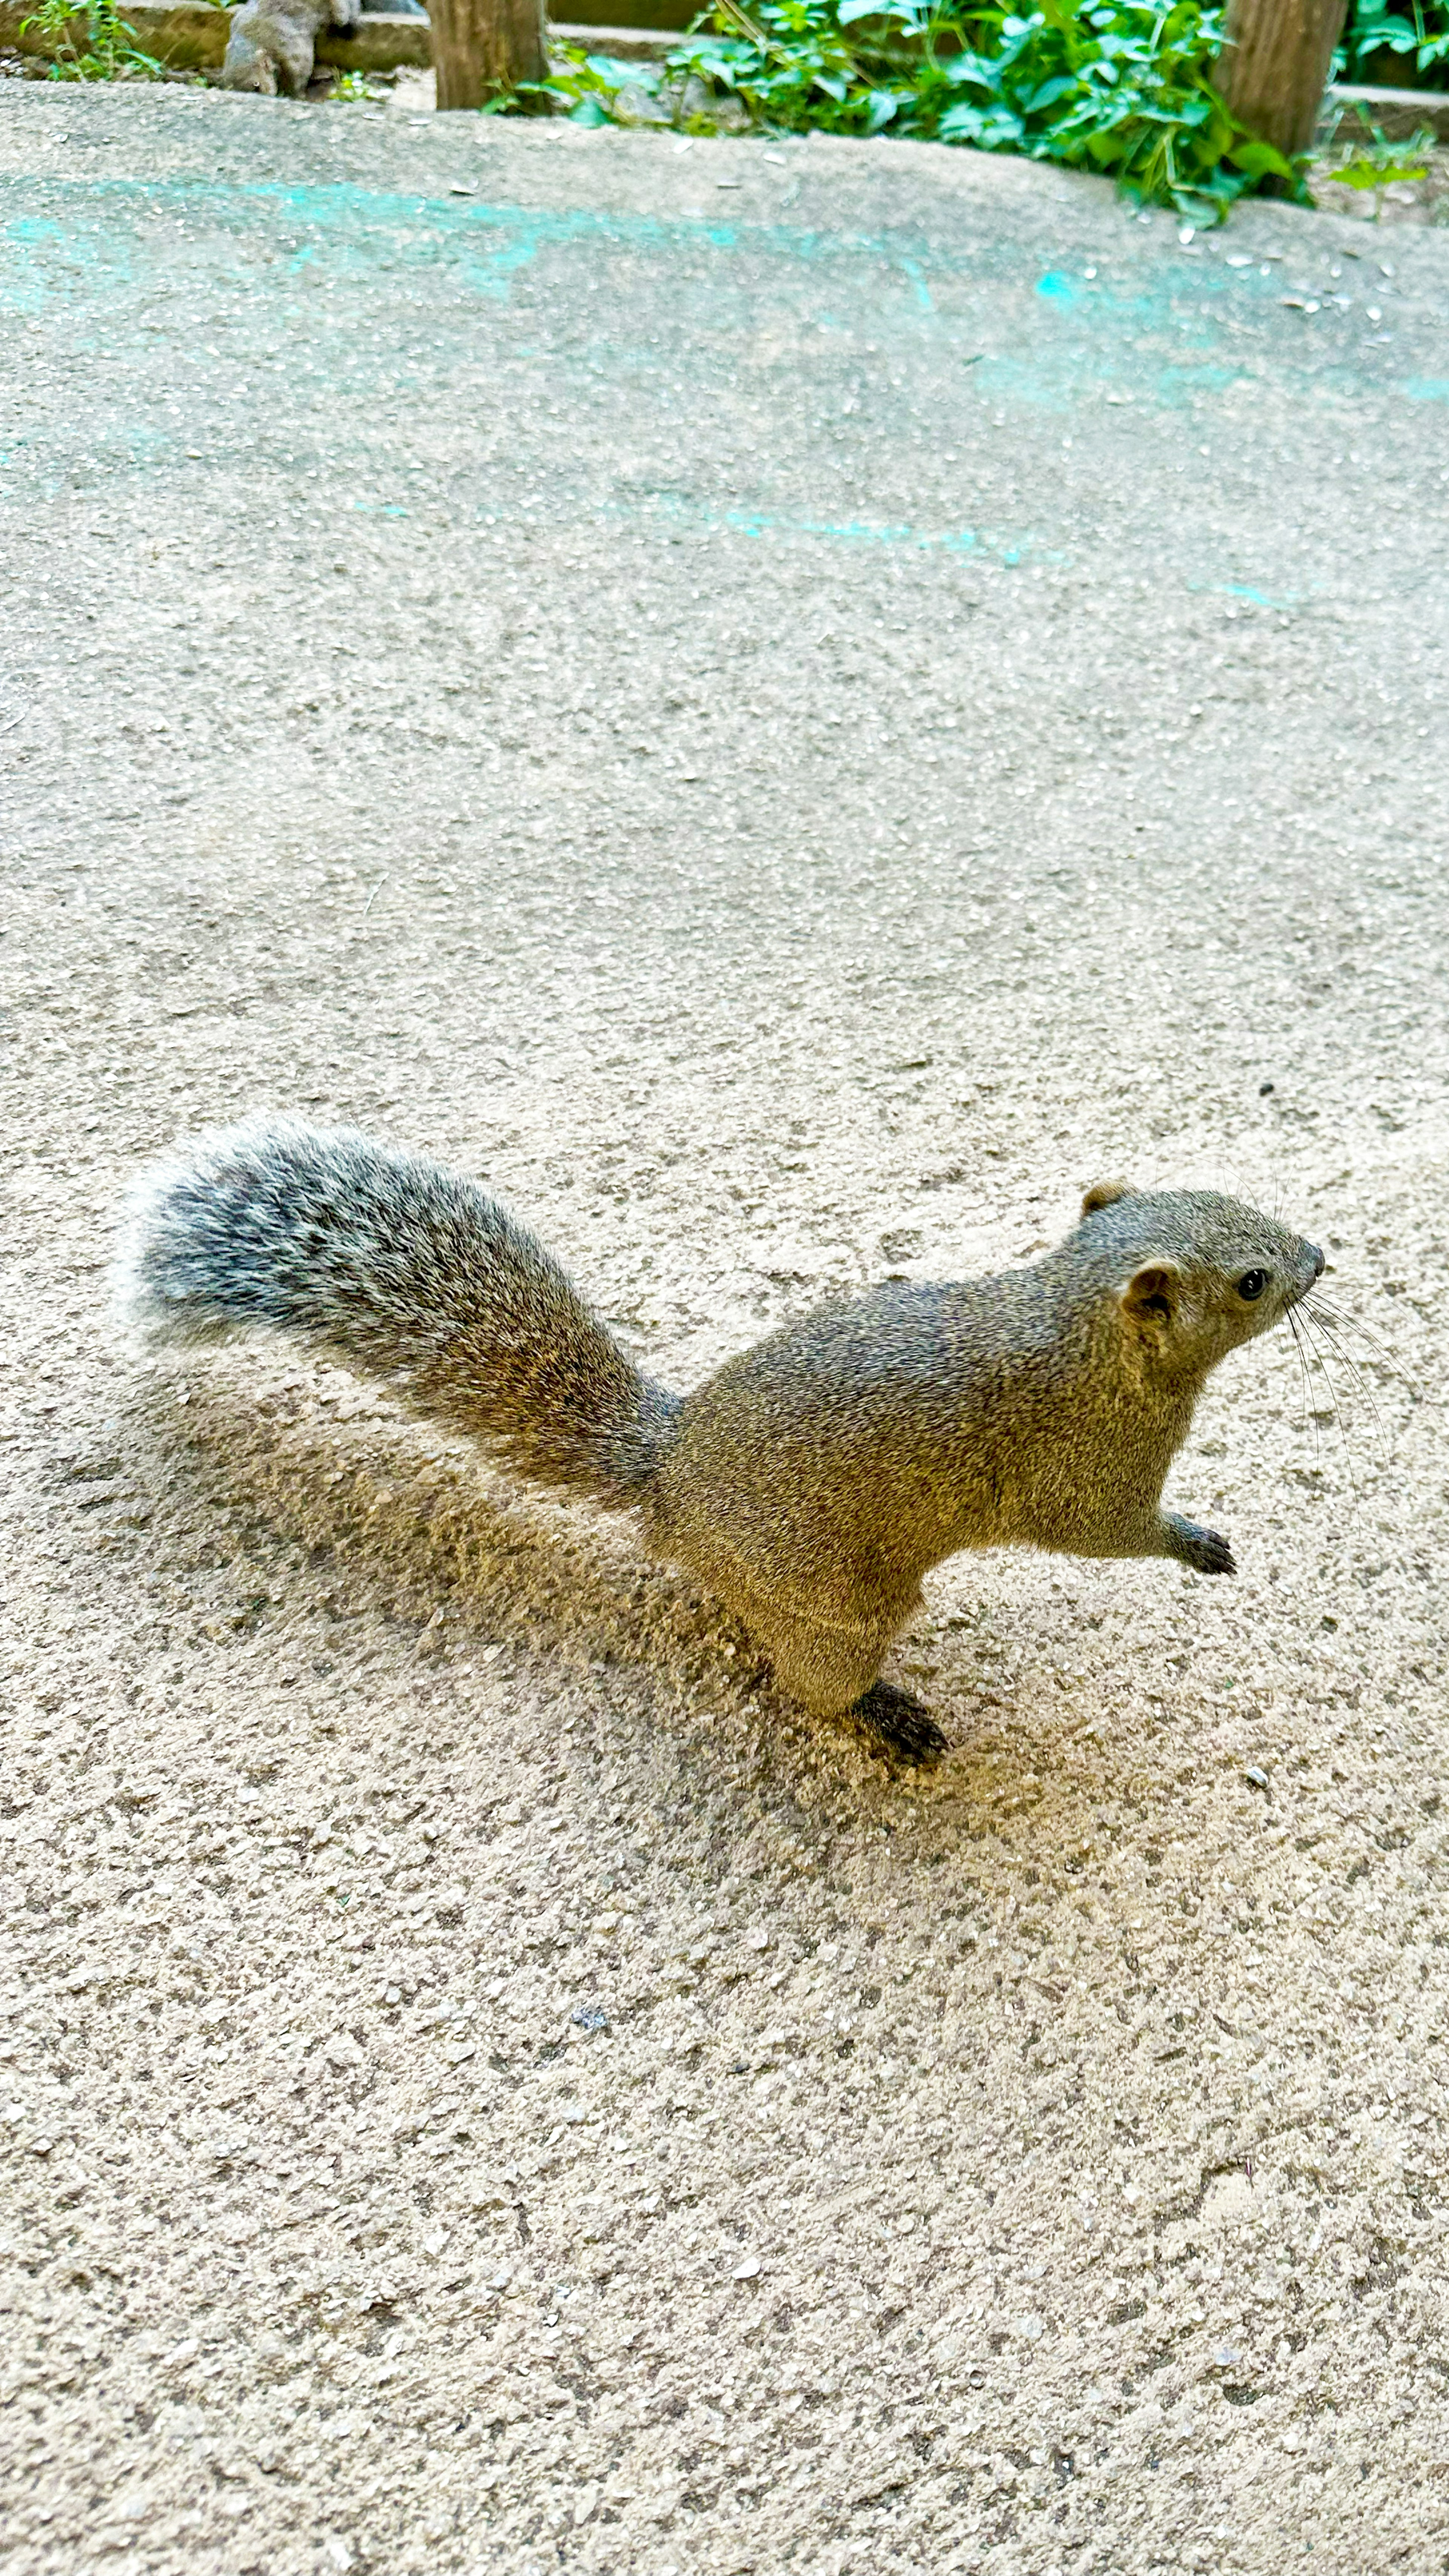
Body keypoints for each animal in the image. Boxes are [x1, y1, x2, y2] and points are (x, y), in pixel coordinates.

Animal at [118, 1118, 1330, 1762]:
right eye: (1250, 1280)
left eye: (1231, 1195)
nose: (1321, 1254)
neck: (1070, 1321)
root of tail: (667, 1486)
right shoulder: (1083, 1465)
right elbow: (1107, 1533)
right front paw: (1195, 1543)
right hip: (836, 1607)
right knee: (806, 1683)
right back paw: (887, 1713)